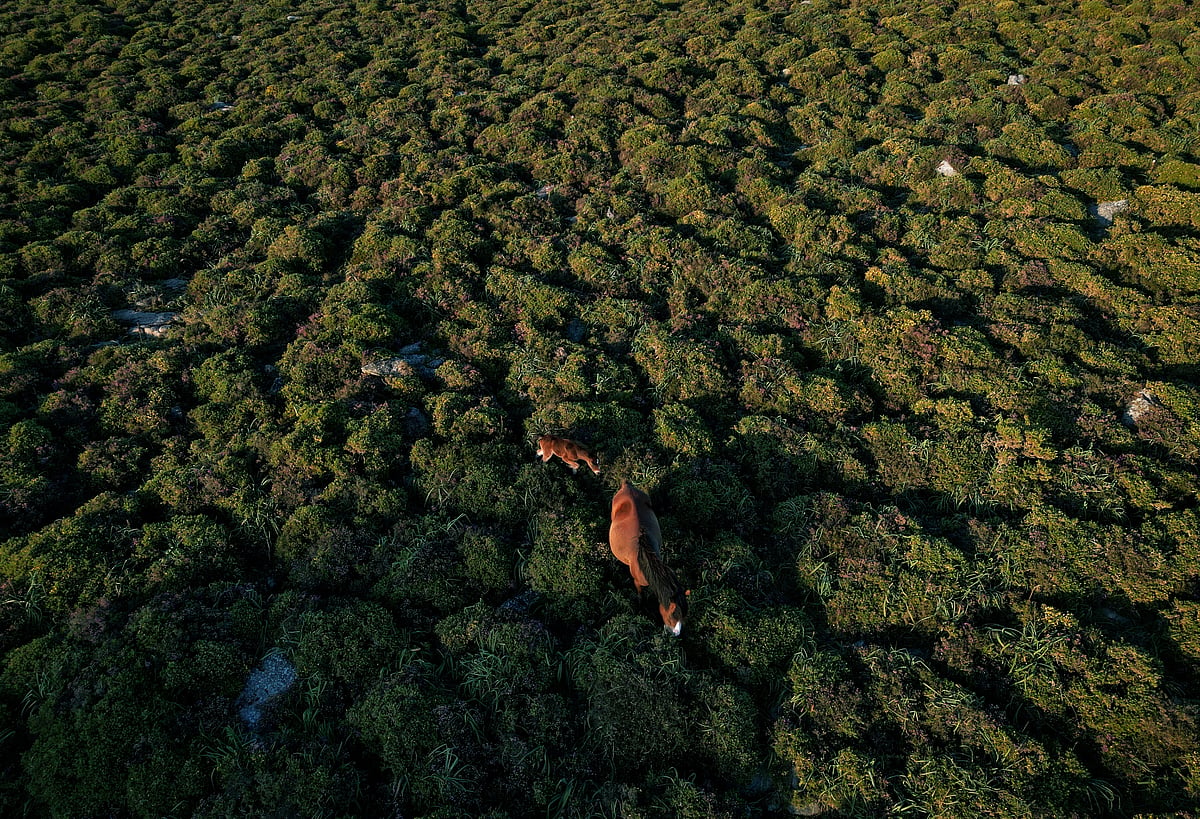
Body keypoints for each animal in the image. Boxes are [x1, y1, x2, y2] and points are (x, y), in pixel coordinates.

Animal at [608, 481, 688, 636]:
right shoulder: (637, 581)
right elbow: (640, 595)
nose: (675, 634)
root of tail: (626, 486)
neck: (645, 560)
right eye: (672, 616)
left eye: (684, 616)